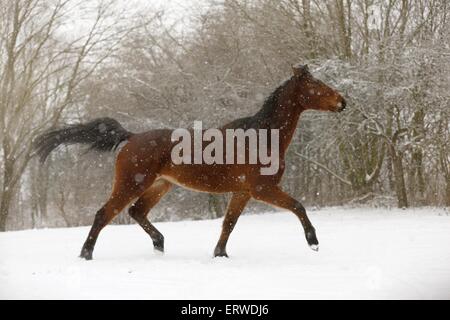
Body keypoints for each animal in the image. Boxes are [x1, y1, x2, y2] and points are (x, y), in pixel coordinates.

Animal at [34, 65, 344, 260]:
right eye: (317, 85)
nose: (343, 101)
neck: (261, 137)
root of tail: (131, 138)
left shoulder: (243, 192)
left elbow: (229, 224)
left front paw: (220, 254)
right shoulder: (261, 189)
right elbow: (298, 206)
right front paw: (313, 242)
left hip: (160, 185)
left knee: (136, 211)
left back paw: (159, 245)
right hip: (131, 183)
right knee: (104, 214)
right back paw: (86, 254)